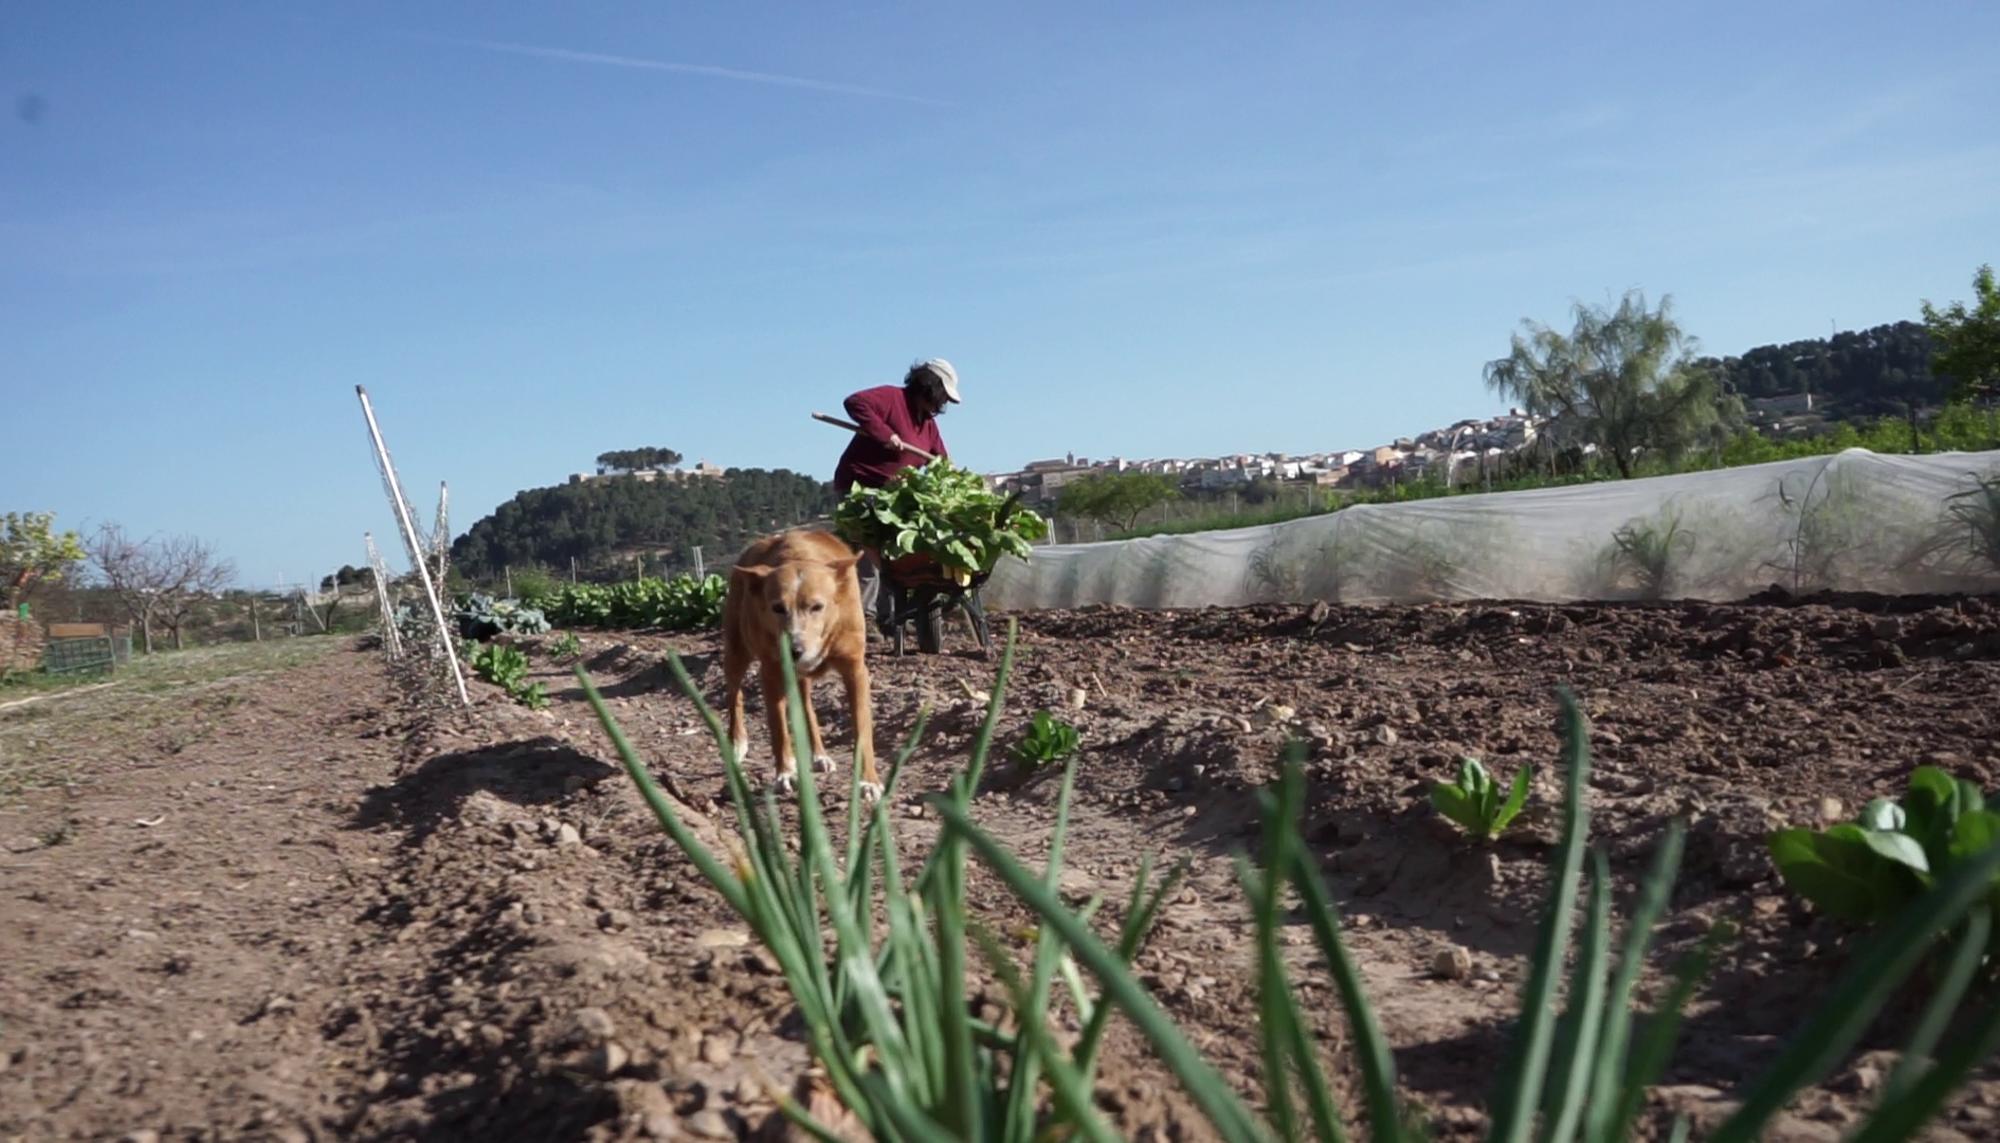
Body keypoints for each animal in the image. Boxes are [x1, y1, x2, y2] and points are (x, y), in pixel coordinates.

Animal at [716, 527, 880, 803]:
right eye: (777, 608)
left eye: (817, 607)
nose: (795, 650)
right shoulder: (771, 671)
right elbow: (778, 728)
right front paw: (785, 773)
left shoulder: (855, 669)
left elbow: (862, 729)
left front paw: (868, 781)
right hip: (737, 649)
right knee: (733, 692)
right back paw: (737, 743)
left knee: (806, 707)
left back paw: (819, 755)